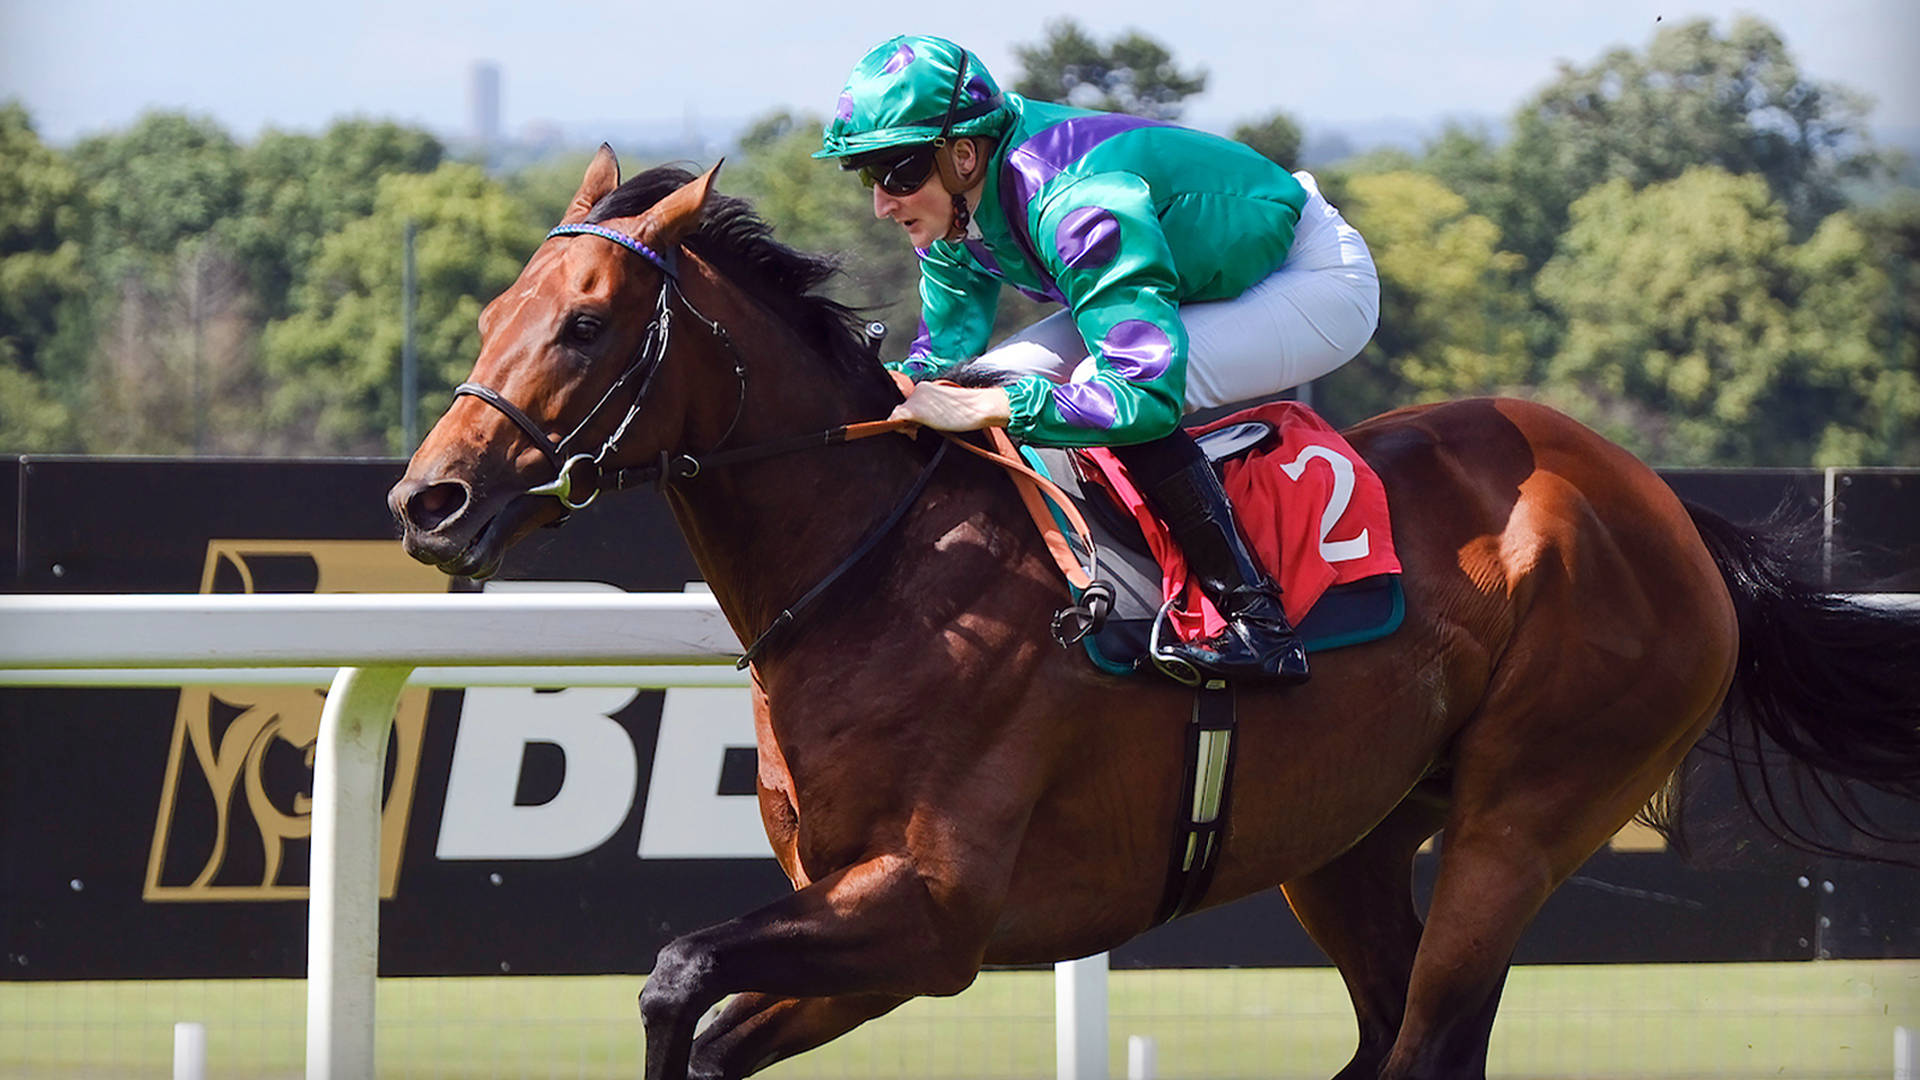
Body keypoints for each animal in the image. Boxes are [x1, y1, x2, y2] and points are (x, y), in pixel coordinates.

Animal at [389, 151, 1920, 1080]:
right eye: (494, 305)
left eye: (586, 324)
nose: (429, 500)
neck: (882, 576)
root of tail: (1654, 501)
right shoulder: (871, 928)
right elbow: (703, 1019)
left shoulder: (933, 914)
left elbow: (675, 970)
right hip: (1351, 839)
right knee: (1388, 1033)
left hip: (1526, 818)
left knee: (1432, 1038)